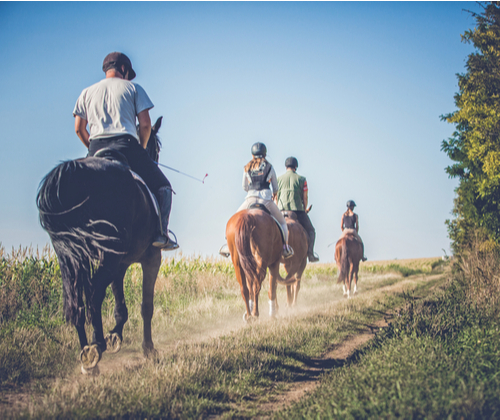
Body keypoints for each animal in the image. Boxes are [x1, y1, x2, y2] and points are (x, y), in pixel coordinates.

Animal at [38, 116, 166, 372]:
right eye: (156, 147)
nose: (155, 158)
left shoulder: (120, 264)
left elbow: (120, 305)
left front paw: (115, 336)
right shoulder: (150, 258)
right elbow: (146, 306)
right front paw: (148, 349)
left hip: (72, 257)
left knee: (78, 300)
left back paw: (88, 356)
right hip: (107, 256)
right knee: (94, 294)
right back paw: (96, 346)